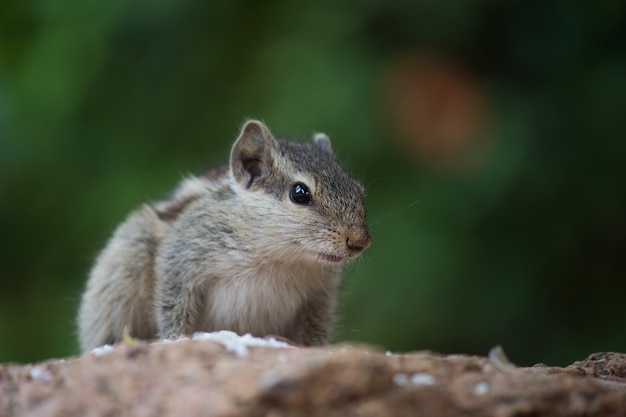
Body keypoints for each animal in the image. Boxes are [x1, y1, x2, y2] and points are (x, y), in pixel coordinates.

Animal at [78, 119, 370, 352]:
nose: (359, 242)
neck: (277, 257)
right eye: (300, 193)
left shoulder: (320, 297)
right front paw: (174, 340)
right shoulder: (180, 259)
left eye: (359, 190)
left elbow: (315, 328)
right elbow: (173, 305)